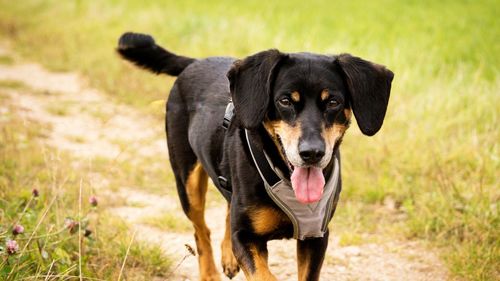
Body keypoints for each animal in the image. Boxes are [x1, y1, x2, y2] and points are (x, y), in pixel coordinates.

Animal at [118, 32, 394, 280]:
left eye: (333, 102)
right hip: (187, 182)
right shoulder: (246, 237)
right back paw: (209, 273)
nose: (312, 153)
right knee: (201, 229)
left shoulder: (316, 236)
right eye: (285, 101)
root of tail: (195, 62)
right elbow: (264, 274)